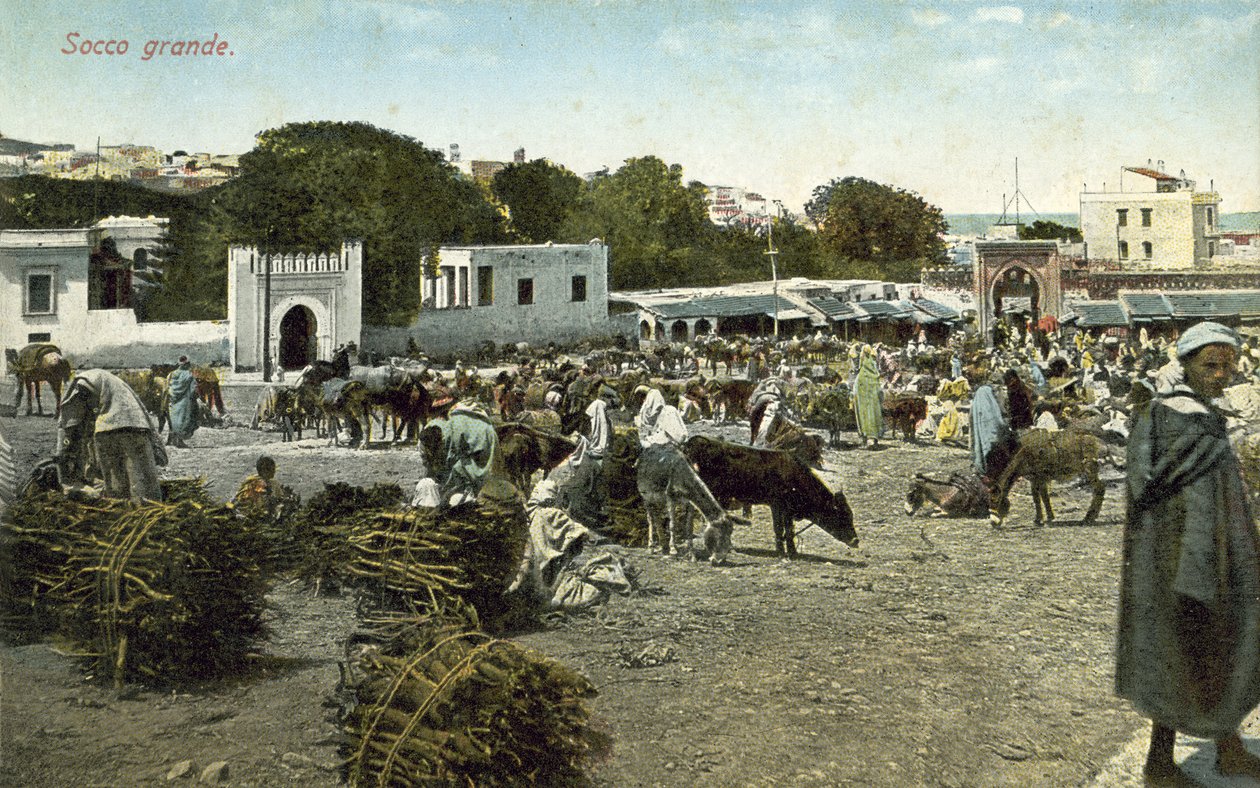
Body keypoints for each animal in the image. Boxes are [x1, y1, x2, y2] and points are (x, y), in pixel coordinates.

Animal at [685, 433, 861, 557]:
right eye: (842, 515)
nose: (856, 541)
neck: (794, 476)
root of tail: (693, 442)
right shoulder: (777, 506)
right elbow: (780, 529)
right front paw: (783, 552)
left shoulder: (786, 510)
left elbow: (788, 530)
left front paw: (790, 551)